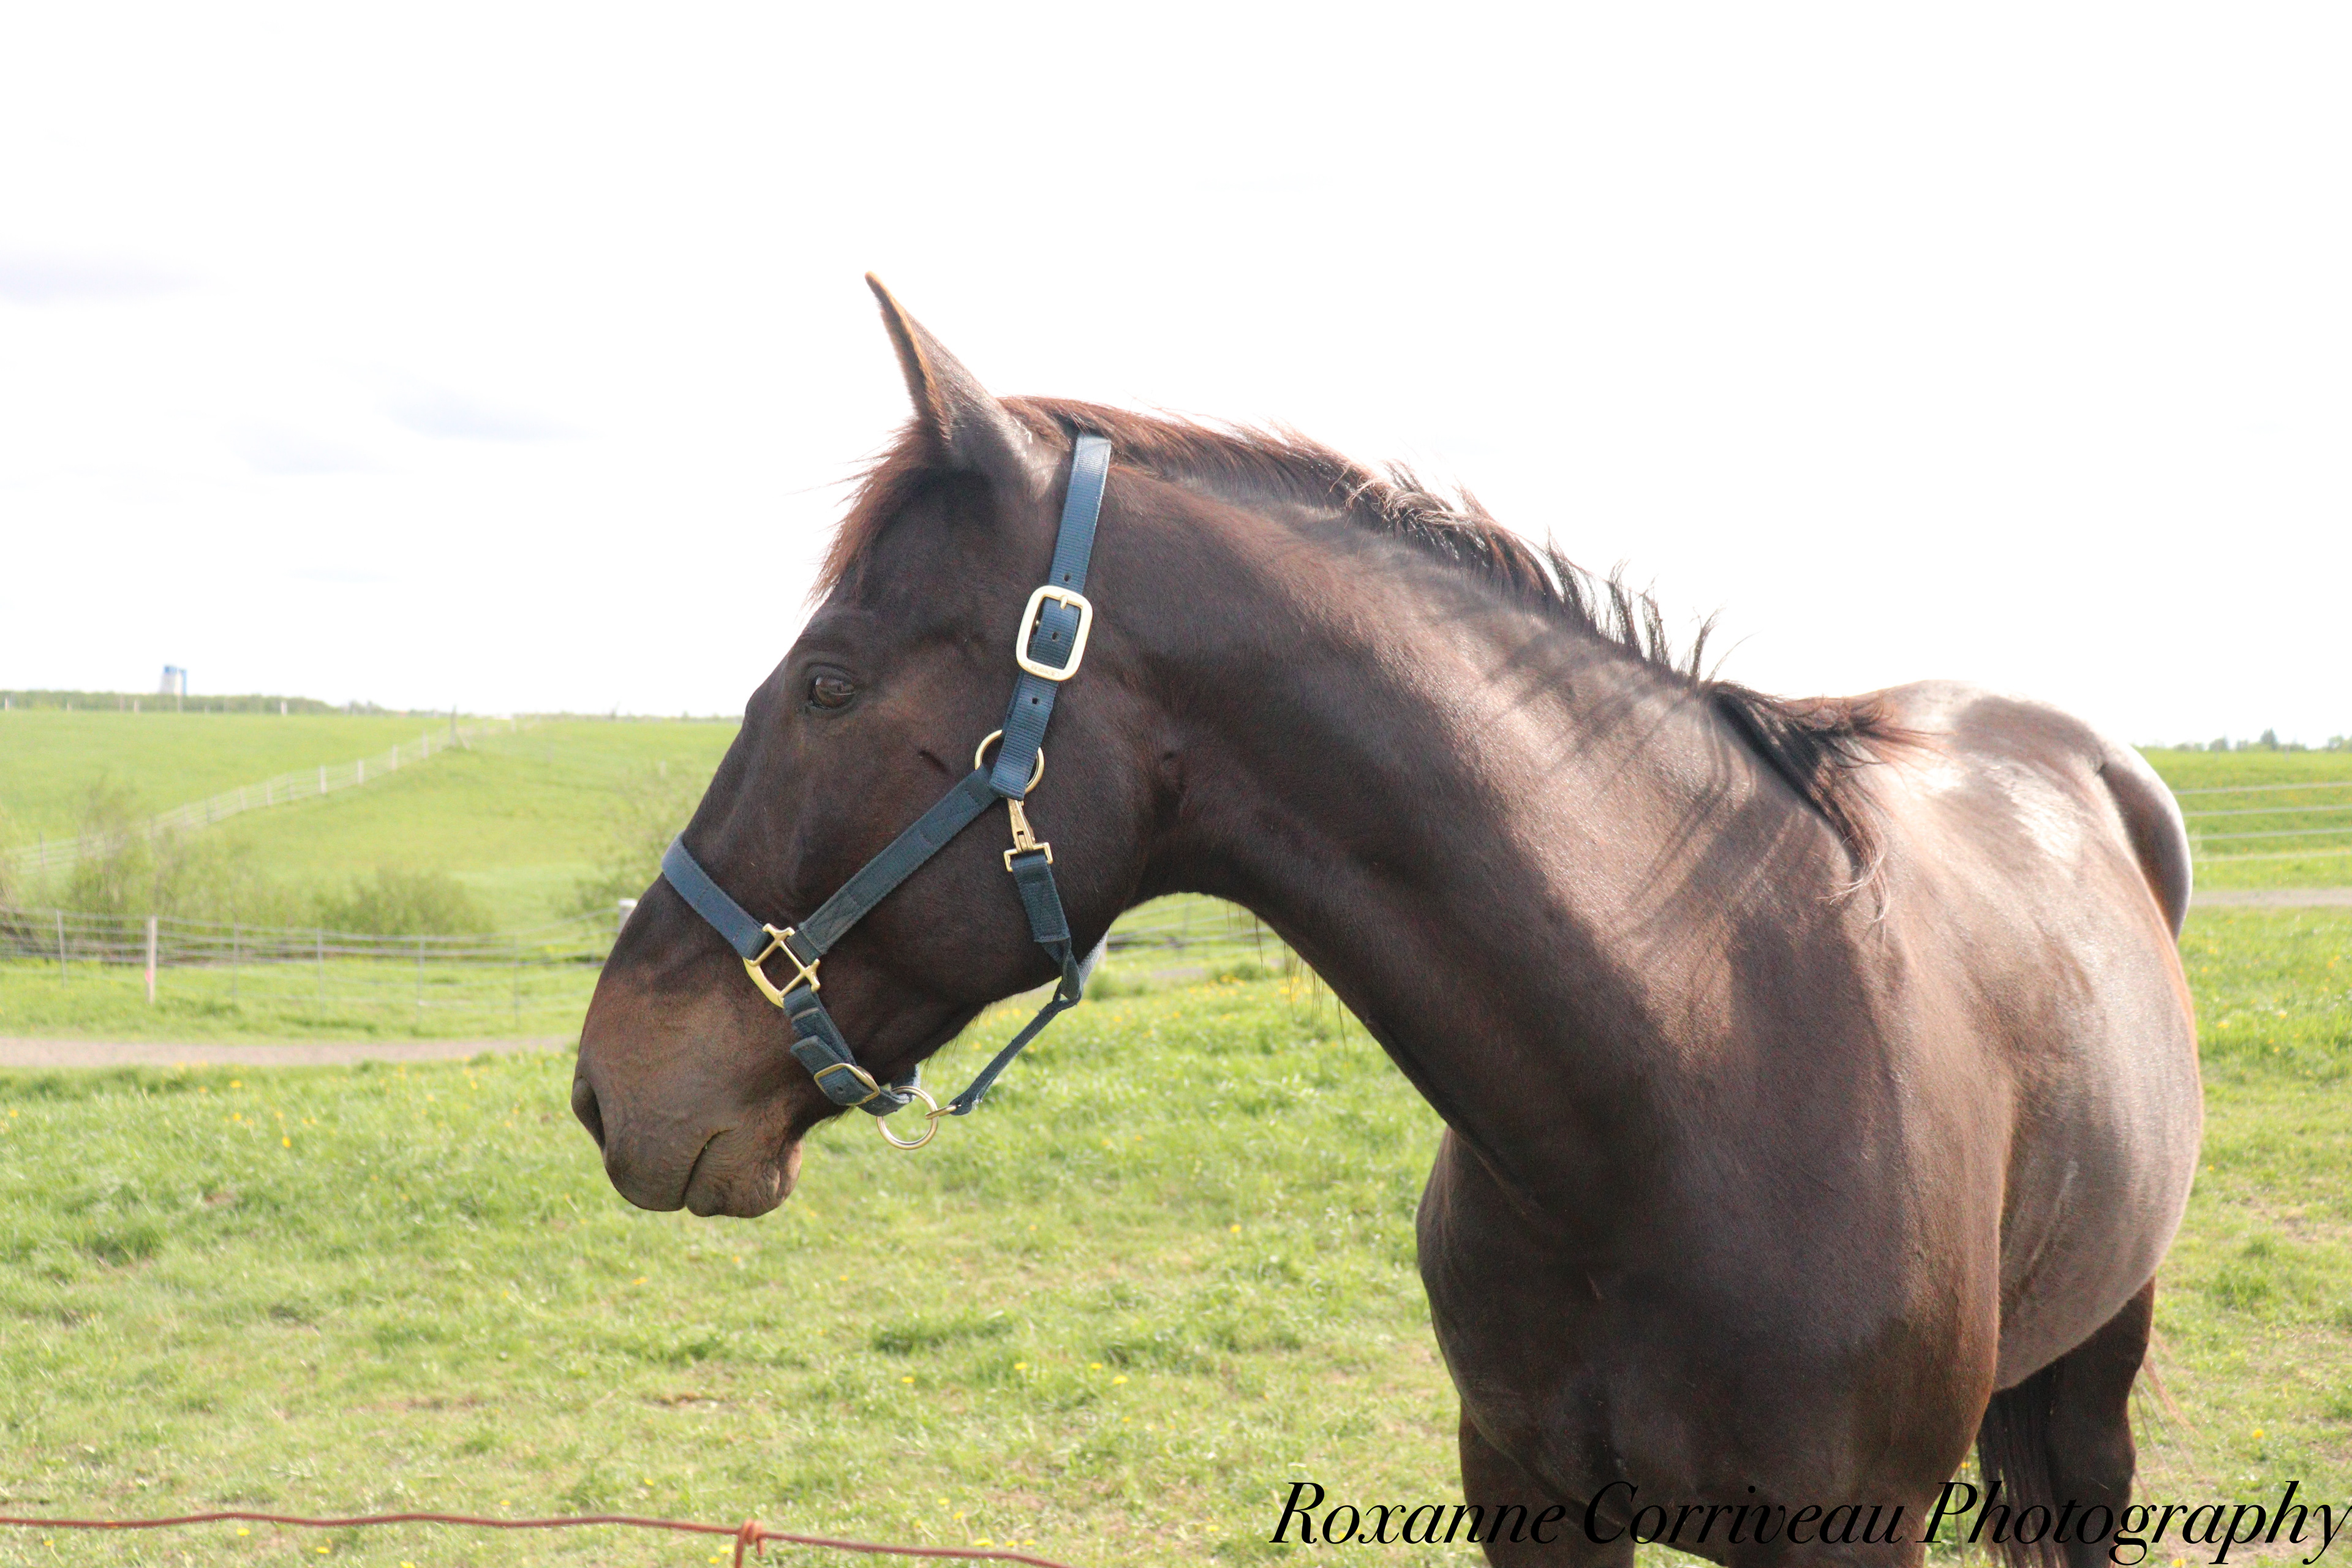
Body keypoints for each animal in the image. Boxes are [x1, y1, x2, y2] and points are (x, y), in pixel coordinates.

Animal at [572, 277, 2201, 1567]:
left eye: (829, 681)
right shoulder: (1527, 1498)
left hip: (2098, 1373)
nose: (606, 1082)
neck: (1695, 1073)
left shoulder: (1842, 1532)